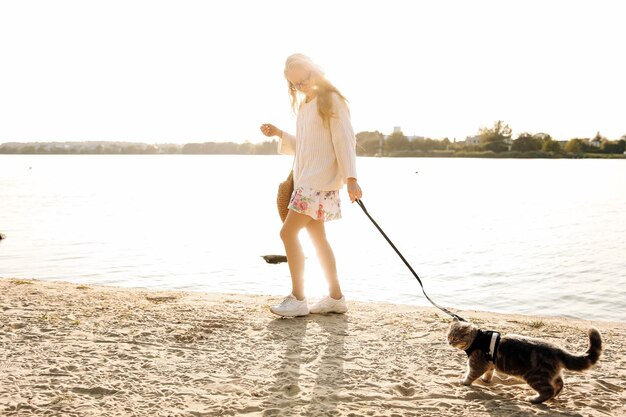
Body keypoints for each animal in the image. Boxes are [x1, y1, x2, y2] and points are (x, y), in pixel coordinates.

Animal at [444, 316, 600, 402]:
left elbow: (470, 374)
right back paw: (552, 397)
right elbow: (489, 372)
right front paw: (486, 380)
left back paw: (535, 400)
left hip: (535, 376)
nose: (449, 342)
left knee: (548, 390)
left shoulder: (477, 364)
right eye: (448, 336)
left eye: (455, 338)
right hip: (551, 374)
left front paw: (464, 382)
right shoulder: (489, 364)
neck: (477, 339)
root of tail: (557, 349)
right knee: (559, 384)